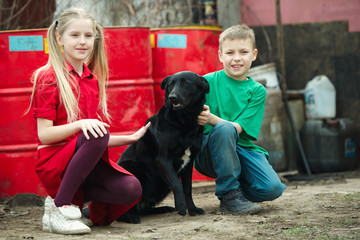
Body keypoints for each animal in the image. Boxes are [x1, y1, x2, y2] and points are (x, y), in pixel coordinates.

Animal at [116, 71, 210, 223]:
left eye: (186, 83)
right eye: (170, 85)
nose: (172, 97)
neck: (184, 122)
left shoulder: (189, 162)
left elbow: (187, 189)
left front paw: (193, 209)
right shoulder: (163, 160)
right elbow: (177, 184)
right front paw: (181, 206)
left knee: (143, 209)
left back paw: (162, 209)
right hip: (130, 169)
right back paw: (130, 217)